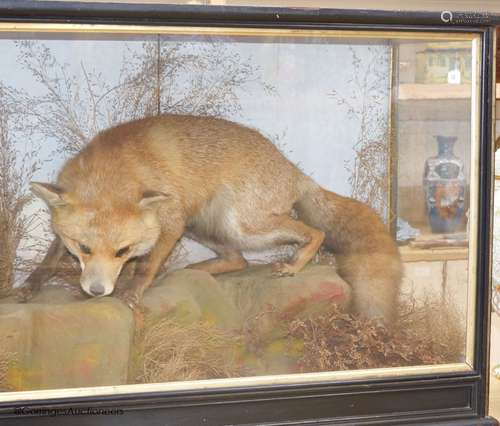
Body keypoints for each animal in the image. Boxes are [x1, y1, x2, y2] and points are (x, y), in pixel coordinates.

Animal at [18, 115, 402, 322]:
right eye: (82, 248)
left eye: (122, 251)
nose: (97, 291)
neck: (111, 171)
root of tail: (293, 169)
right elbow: (50, 257)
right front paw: (31, 285)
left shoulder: (171, 224)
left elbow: (147, 266)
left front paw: (132, 290)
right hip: (204, 226)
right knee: (238, 260)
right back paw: (195, 270)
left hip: (244, 225)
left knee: (313, 231)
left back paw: (295, 264)